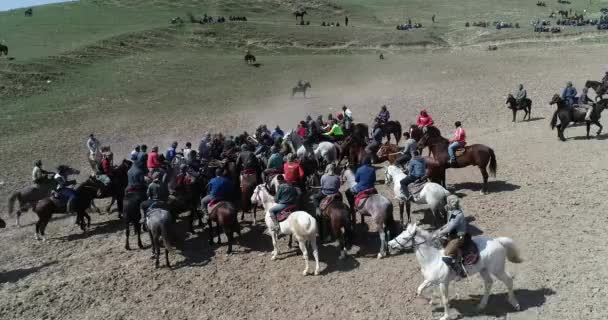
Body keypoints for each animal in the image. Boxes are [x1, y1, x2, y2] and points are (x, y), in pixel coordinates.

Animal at [390, 224, 524, 320]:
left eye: (404, 237)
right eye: (401, 233)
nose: (390, 244)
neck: (432, 259)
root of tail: (497, 241)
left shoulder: (443, 283)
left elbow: (445, 299)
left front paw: (445, 316)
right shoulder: (430, 280)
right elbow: (420, 290)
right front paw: (431, 301)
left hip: (497, 270)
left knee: (508, 281)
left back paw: (515, 304)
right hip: (484, 270)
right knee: (489, 283)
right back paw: (481, 305)